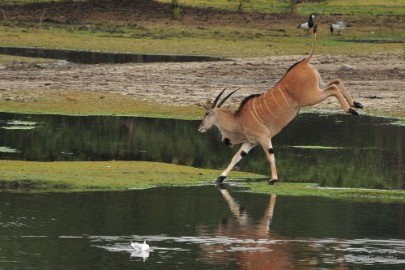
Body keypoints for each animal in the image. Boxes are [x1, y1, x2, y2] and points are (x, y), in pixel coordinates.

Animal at [197, 25, 362, 186]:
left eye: (206, 113)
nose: (200, 128)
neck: (239, 119)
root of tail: (304, 61)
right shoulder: (250, 143)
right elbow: (236, 158)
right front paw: (219, 178)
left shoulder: (264, 137)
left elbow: (270, 156)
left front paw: (273, 179)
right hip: (318, 86)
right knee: (336, 80)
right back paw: (356, 104)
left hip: (310, 97)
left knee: (333, 88)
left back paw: (351, 109)